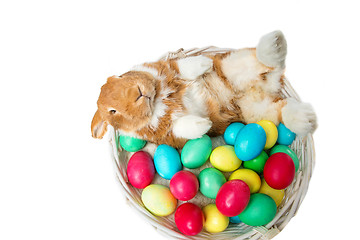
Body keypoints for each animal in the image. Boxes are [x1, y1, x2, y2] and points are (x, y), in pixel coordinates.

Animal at [91, 31, 316, 148]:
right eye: (113, 111)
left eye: (120, 77)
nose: (139, 92)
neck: (158, 99)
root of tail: (265, 87)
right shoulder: (169, 136)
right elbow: (183, 127)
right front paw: (204, 124)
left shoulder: (170, 68)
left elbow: (184, 67)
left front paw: (204, 64)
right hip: (255, 112)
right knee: (282, 108)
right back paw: (306, 118)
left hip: (231, 65)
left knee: (265, 61)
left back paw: (274, 43)